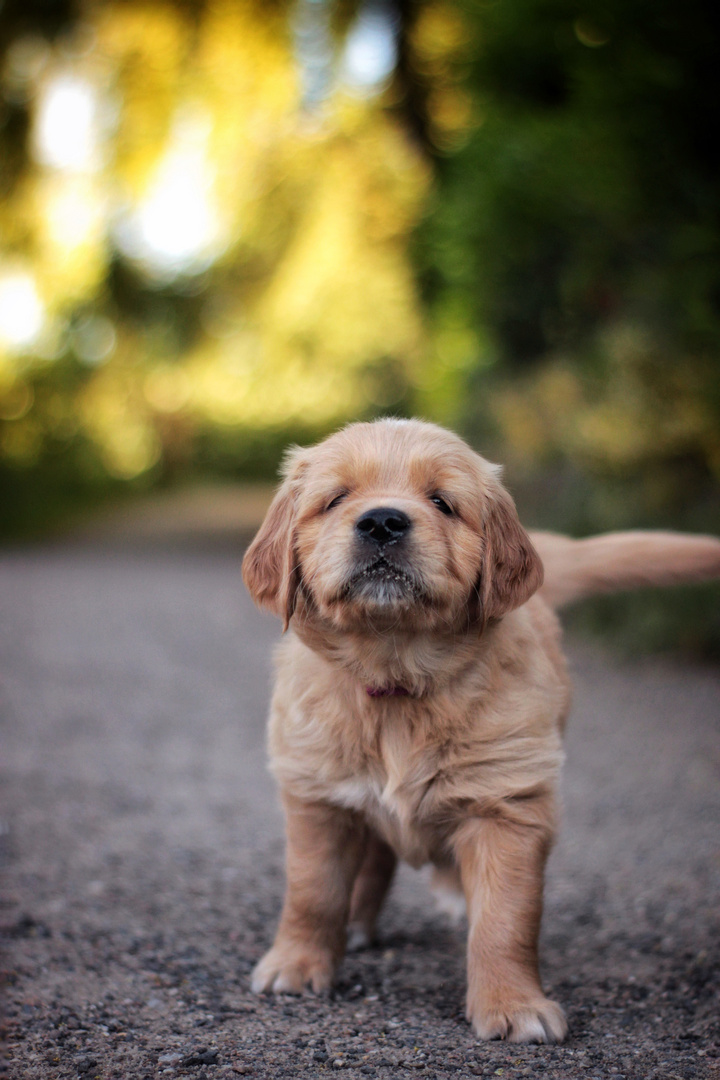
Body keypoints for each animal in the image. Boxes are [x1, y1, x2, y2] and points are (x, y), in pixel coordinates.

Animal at [241, 416, 720, 1041]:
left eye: (443, 502)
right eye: (337, 499)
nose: (382, 521)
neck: (397, 680)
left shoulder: (507, 803)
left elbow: (505, 918)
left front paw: (513, 1005)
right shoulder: (317, 794)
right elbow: (312, 889)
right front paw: (296, 964)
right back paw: (359, 921)